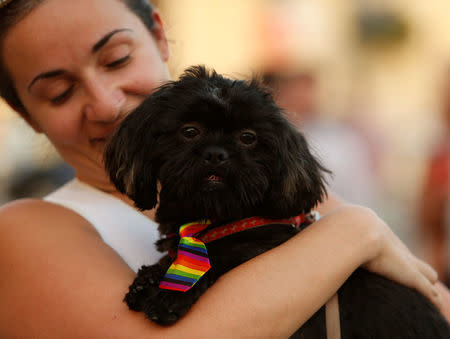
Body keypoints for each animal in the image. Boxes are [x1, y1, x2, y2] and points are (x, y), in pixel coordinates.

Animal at [103, 65, 448, 338]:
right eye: (189, 131)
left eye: (248, 138)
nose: (216, 153)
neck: (216, 217)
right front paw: (149, 278)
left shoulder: (262, 249)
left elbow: (222, 256)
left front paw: (168, 294)